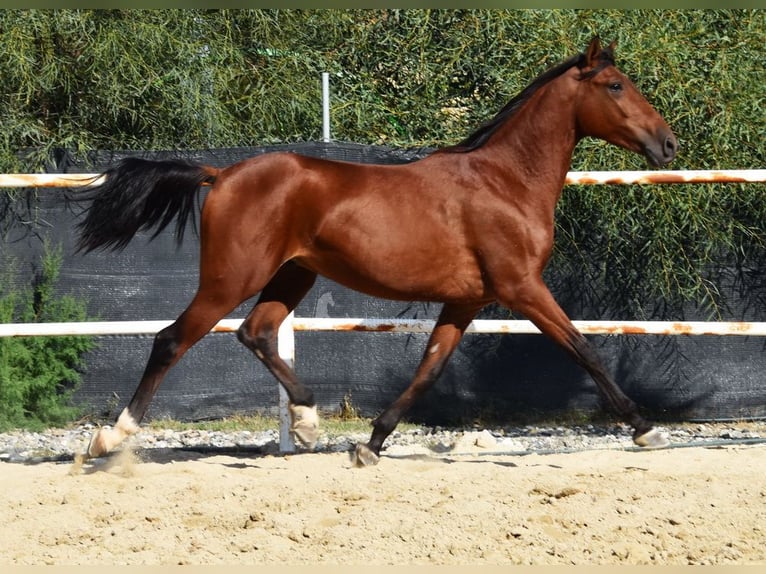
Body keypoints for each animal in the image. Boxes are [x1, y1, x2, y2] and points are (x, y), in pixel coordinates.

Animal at [76, 37, 680, 468]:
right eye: (615, 85)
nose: (668, 144)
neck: (505, 182)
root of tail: (220, 173)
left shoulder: (467, 301)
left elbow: (429, 369)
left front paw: (370, 443)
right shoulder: (522, 287)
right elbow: (584, 348)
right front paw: (646, 428)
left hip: (292, 275)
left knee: (257, 332)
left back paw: (307, 422)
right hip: (232, 277)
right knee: (172, 338)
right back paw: (110, 438)